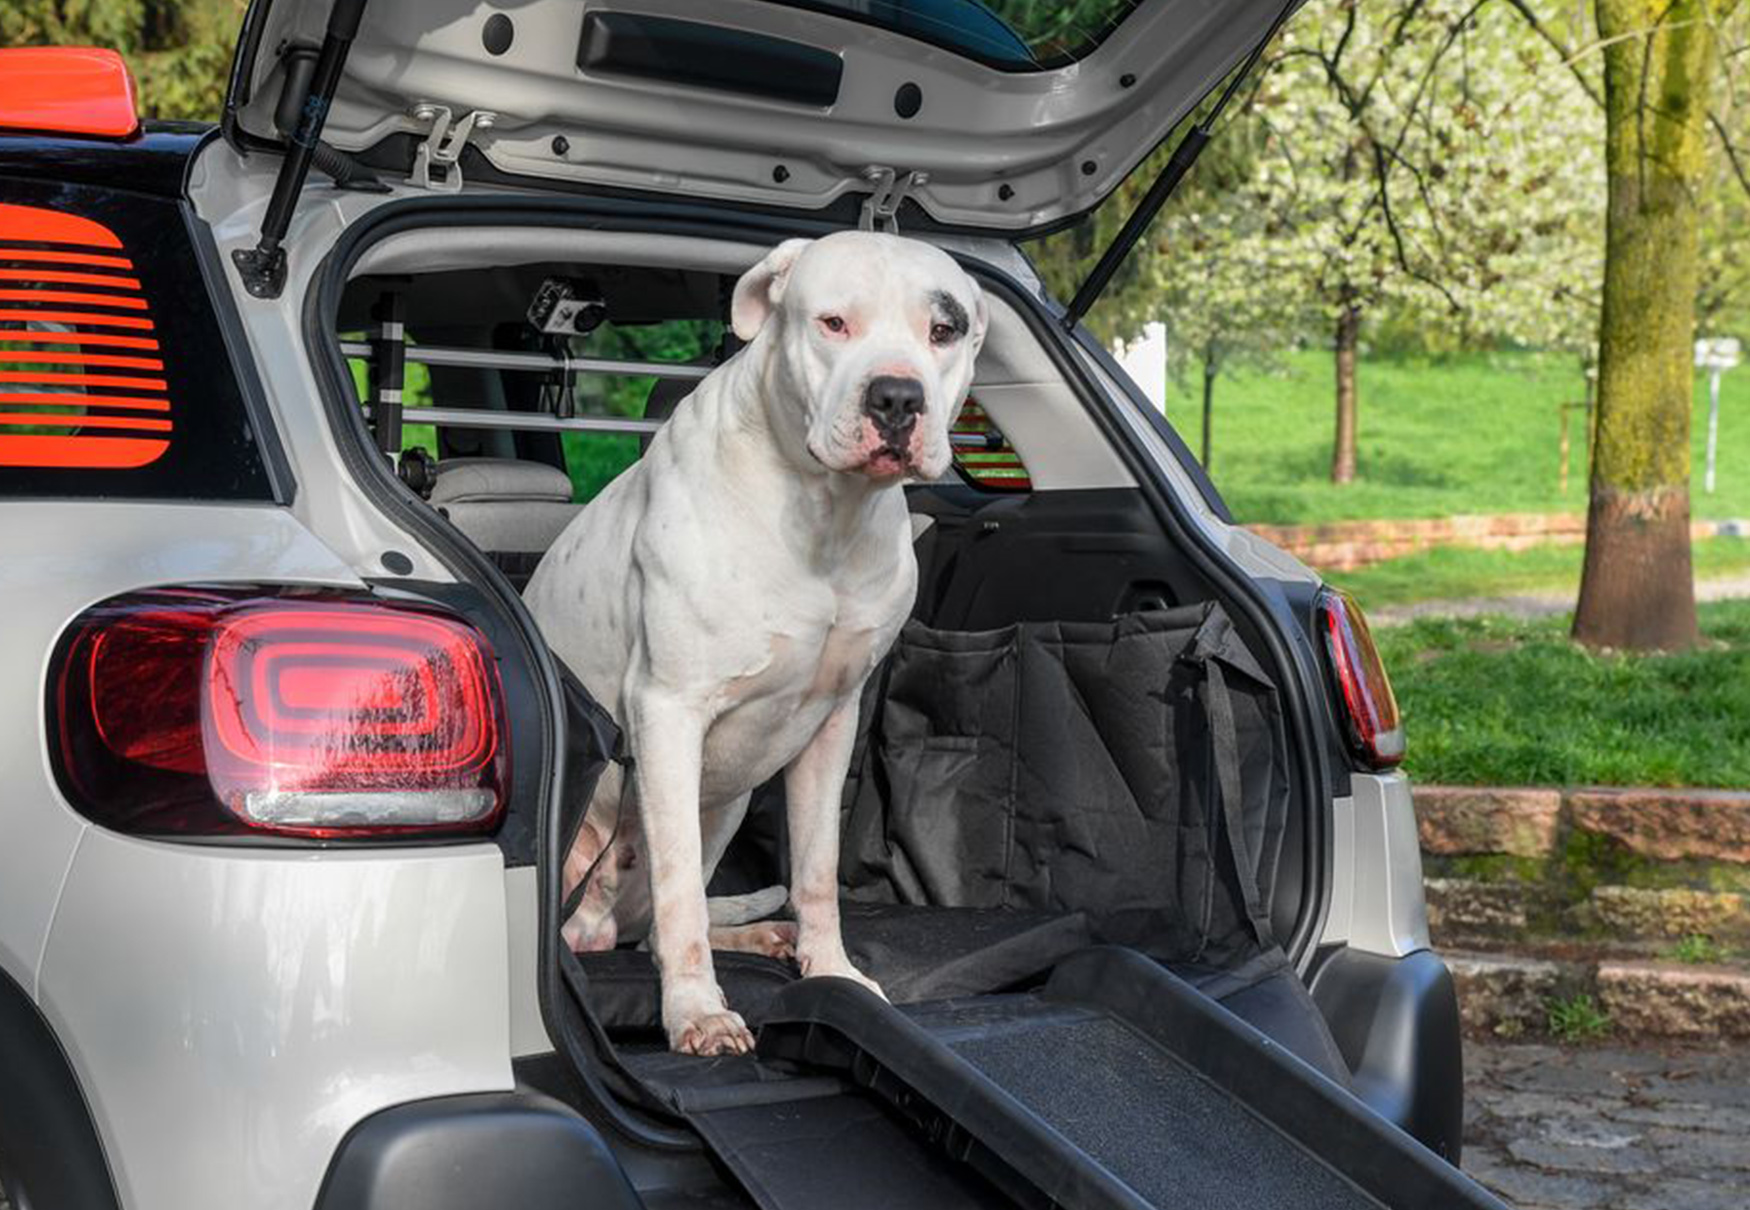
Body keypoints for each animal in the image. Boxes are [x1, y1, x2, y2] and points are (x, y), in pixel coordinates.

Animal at [518, 231, 987, 1057]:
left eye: (943, 331)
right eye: (832, 322)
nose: (897, 398)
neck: (826, 514)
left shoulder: (832, 723)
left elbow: (816, 871)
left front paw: (830, 970)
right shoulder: (667, 712)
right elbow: (680, 894)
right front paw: (696, 1011)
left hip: (727, 804)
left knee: (654, 926)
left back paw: (766, 936)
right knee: (644, 918)